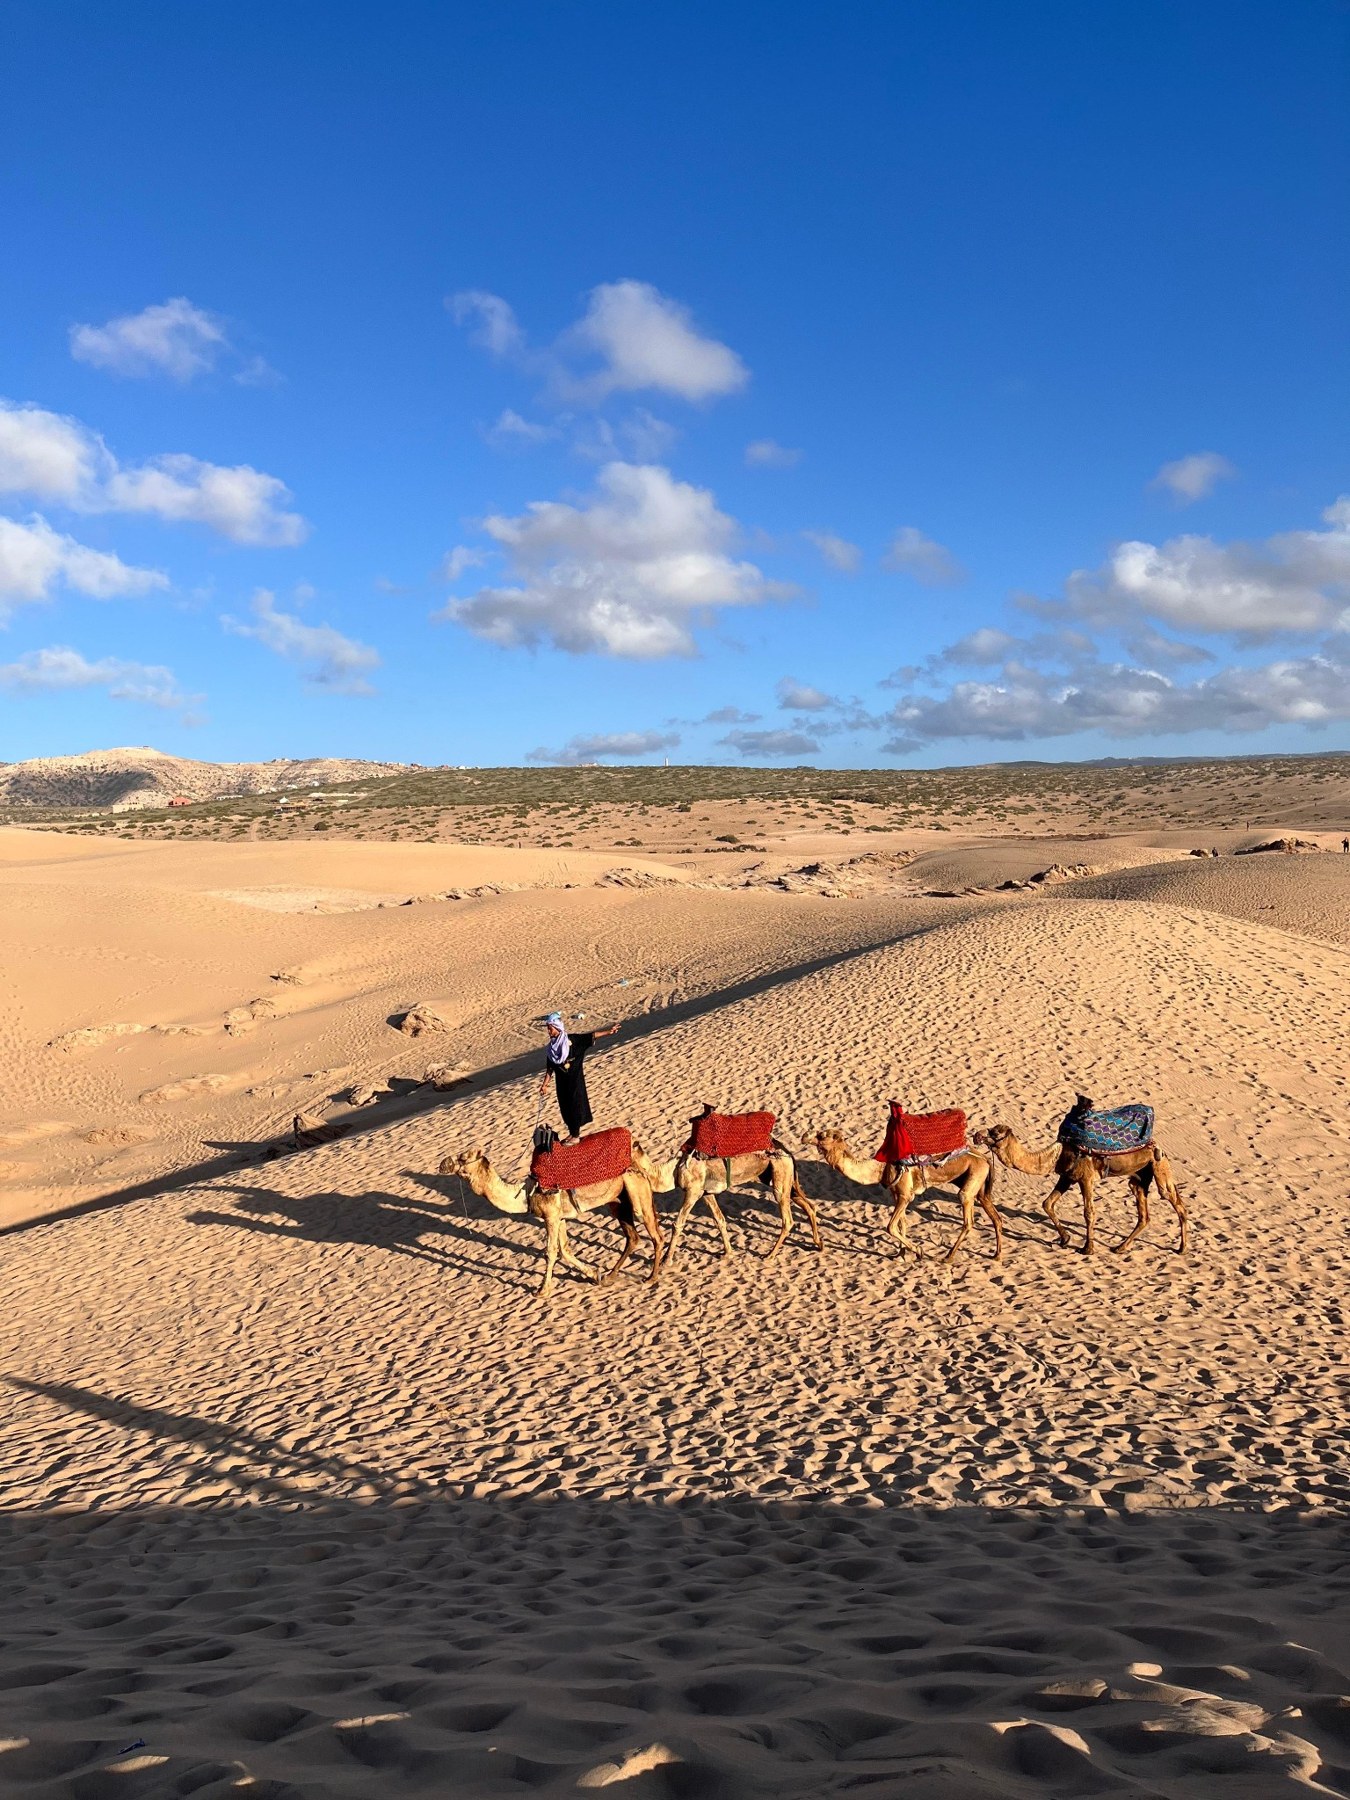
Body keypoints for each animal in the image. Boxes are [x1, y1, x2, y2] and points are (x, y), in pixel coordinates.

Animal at [438, 1146, 665, 1299]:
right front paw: (594, 1274)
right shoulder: (559, 1217)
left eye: (463, 1157)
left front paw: (542, 1290)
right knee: (633, 1237)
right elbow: (565, 1249)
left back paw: (652, 1278)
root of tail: (639, 1166)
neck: (526, 1194)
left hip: (637, 1192)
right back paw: (610, 1276)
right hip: (618, 1201)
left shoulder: (551, 1217)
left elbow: (551, 1252)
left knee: (655, 1234)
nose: (442, 1163)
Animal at [630, 1140, 822, 1262]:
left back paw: (769, 1255)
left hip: (780, 1178)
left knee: (788, 1219)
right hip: (783, 1179)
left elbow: (678, 1224)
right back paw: (818, 1244)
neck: (674, 1169)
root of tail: (787, 1152)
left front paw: (666, 1260)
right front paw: (727, 1252)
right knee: (809, 1206)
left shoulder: (693, 1191)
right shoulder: (706, 1193)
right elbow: (719, 1220)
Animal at [812, 1129, 1002, 1262]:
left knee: (968, 1217)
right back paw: (997, 1255)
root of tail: (985, 1158)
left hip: (972, 1180)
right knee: (996, 1217)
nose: (810, 1135)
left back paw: (948, 1257)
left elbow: (890, 1226)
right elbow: (901, 1224)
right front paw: (901, 1254)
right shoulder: (897, 1194)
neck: (881, 1168)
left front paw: (918, 1251)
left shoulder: (905, 1195)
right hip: (980, 1186)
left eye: (823, 1135)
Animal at [972, 1122, 1187, 1256]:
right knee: (1143, 1213)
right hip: (1140, 1176)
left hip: (1159, 1165)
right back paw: (1120, 1247)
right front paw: (1065, 1238)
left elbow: (1089, 1212)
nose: (977, 1135)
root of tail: (1156, 1145)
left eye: (994, 1133)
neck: (1057, 1154)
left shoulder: (1086, 1178)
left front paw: (1087, 1248)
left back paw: (1182, 1248)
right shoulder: (1067, 1177)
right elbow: (1047, 1203)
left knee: (1175, 1201)